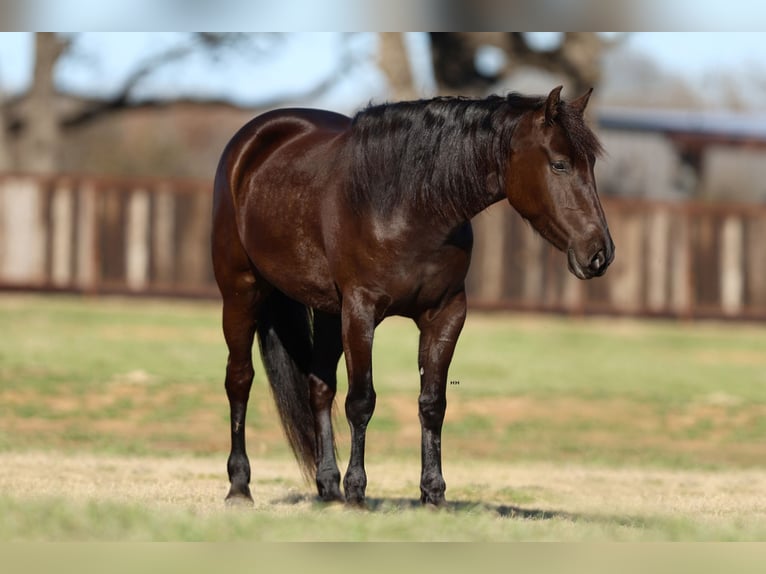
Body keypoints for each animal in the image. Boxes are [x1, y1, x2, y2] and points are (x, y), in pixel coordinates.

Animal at [212, 85, 616, 508]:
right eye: (559, 164)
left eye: (590, 164)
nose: (599, 253)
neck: (410, 205)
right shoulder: (361, 311)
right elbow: (362, 401)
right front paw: (358, 491)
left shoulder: (446, 314)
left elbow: (432, 403)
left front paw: (433, 493)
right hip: (241, 292)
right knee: (239, 380)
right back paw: (240, 486)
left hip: (328, 312)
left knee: (319, 387)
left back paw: (328, 487)